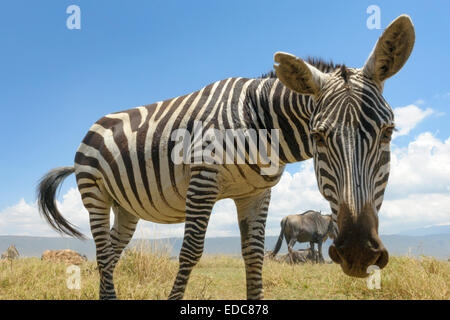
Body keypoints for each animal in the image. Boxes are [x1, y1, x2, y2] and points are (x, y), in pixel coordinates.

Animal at [37, 14, 414, 300]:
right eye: (318, 136)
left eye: (388, 131)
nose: (358, 253)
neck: (260, 120)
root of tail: (96, 124)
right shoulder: (203, 179)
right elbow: (191, 251)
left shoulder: (256, 192)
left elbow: (254, 256)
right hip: (95, 194)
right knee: (103, 253)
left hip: (126, 206)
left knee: (112, 253)